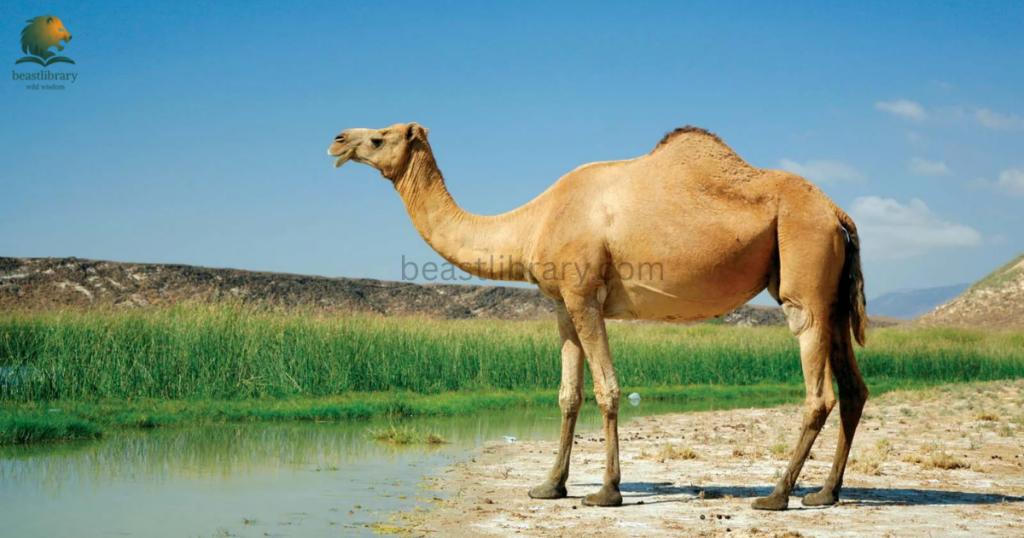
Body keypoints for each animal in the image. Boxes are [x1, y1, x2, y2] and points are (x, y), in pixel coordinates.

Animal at [327, 122, 869, 511]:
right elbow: (569, 394)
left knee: (818, 389)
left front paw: (607, 491)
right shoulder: (561, 303)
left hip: (804, 267)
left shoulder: (584, 293)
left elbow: (608, 389)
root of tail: (838, 213)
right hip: (833, 292)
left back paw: (776, 496)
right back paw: (825, 493)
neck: (532, 223)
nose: (337, 140)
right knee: (853, 388)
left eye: (378, 136)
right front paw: (550, 486)